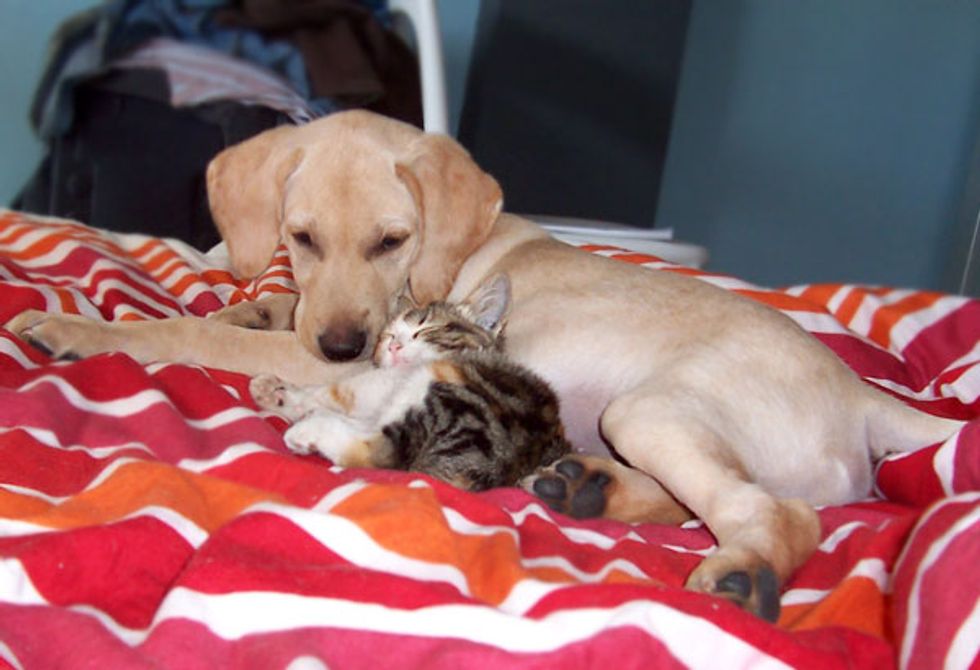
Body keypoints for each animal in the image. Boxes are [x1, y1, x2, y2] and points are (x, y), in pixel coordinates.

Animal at [250, 274, 571, 491]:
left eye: (425, 330)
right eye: (388, 336)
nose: (394, 346)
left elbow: (338, 392)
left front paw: (286, 396)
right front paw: (276, 392)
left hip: (446, 391)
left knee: (382, 453)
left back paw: (308, 431)